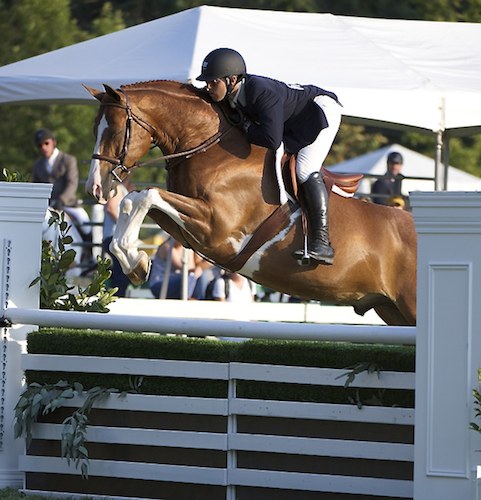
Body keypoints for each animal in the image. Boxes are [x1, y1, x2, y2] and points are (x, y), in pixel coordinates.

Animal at [84, 80, 414, 326]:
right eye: (93, 128)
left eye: (114, 130)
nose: (95, 188)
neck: (209, 147)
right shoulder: (192, 231)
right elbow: (135, 199)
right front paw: (135, 262)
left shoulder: (216, 227)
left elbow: (145, 194)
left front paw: (134, 260)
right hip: (391, 309)